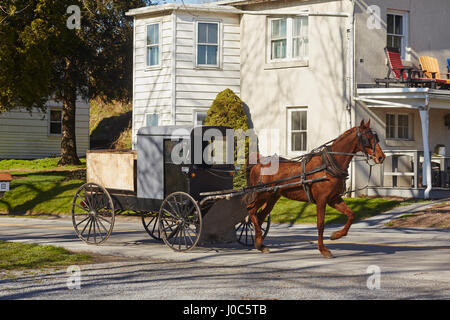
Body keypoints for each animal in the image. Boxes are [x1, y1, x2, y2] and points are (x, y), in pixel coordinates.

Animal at [246, 119, 386, 258]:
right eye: (367, 138)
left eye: (375, 138)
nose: (381, 157)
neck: (329, 164)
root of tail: (258, 164)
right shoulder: (322, 200)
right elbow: (320, 224)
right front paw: (323, 249)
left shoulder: (334, 199)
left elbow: (351, 215)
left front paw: (336, 235)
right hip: (262, 195)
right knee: (251, 211)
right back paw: (258, 241)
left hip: (272, 197)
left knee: (260, 216)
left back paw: (260, 244)